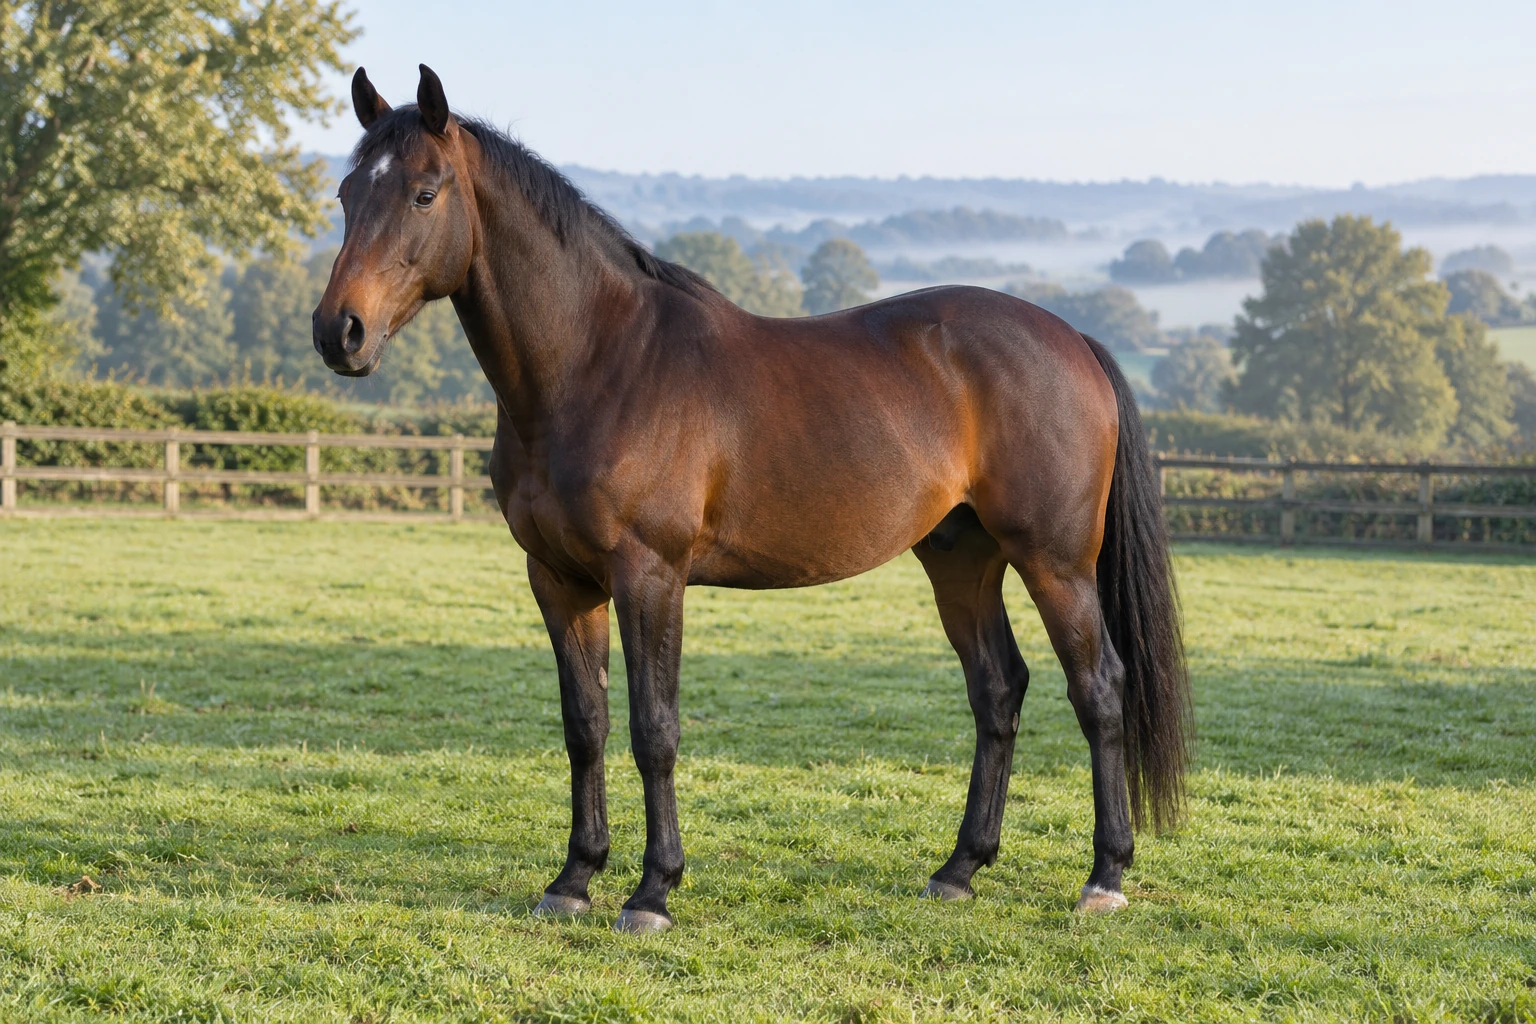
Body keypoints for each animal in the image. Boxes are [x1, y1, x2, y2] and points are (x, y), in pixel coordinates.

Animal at [312, 65, 1191, 934]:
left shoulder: (649, 575)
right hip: (962, 561)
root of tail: (1073, 339)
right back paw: (959, 869)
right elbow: (585, 725)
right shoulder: (559, 580)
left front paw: (652, 891)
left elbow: (654, 728)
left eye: (425, 193)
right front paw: (572, 880)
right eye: (348, 193)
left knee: (1099, 689)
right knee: (998, 689)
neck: (598, 362)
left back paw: (1105, 876)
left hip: (1055, 562)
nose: (338, 332)